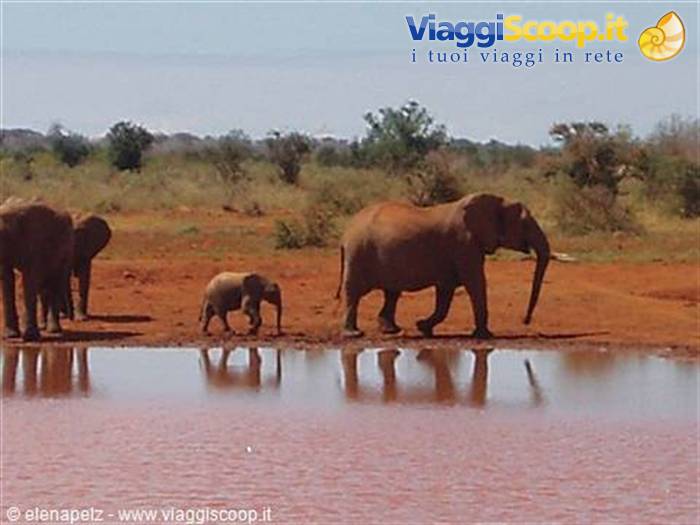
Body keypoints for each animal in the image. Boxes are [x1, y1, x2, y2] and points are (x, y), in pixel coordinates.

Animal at [0, 200, 74, 341]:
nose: (71, 319)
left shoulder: (35, 242)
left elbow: (30, 278)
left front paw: (30, 337)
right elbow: (6, 279)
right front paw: (11, 336)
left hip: (66, 248)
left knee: (55, 282)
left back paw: (54, 330)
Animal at [336, 193, 550, 339]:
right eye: (524, 223)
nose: (525, 321)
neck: (496, 200)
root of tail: (346, 232)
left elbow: (446, 293)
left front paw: (423, 327)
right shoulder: (464, 243)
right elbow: (475, 283)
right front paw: (485, 336)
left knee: (392, 293)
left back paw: (391, 330)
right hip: (359, 252)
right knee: (354, 291)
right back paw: (354, 334)